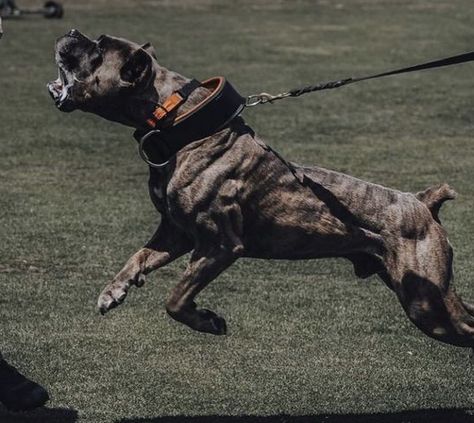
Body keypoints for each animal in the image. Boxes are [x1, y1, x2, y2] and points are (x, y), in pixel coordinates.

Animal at [48, 29, 474, 348]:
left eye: (99, 49)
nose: (72, 32)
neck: (179, 121)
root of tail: (421, 202)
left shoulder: (219, 246)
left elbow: (176, 297)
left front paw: (207, 321)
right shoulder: (176, 233)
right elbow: (138, 257)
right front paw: (114, 290)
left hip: (426, 303)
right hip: (428, 294)